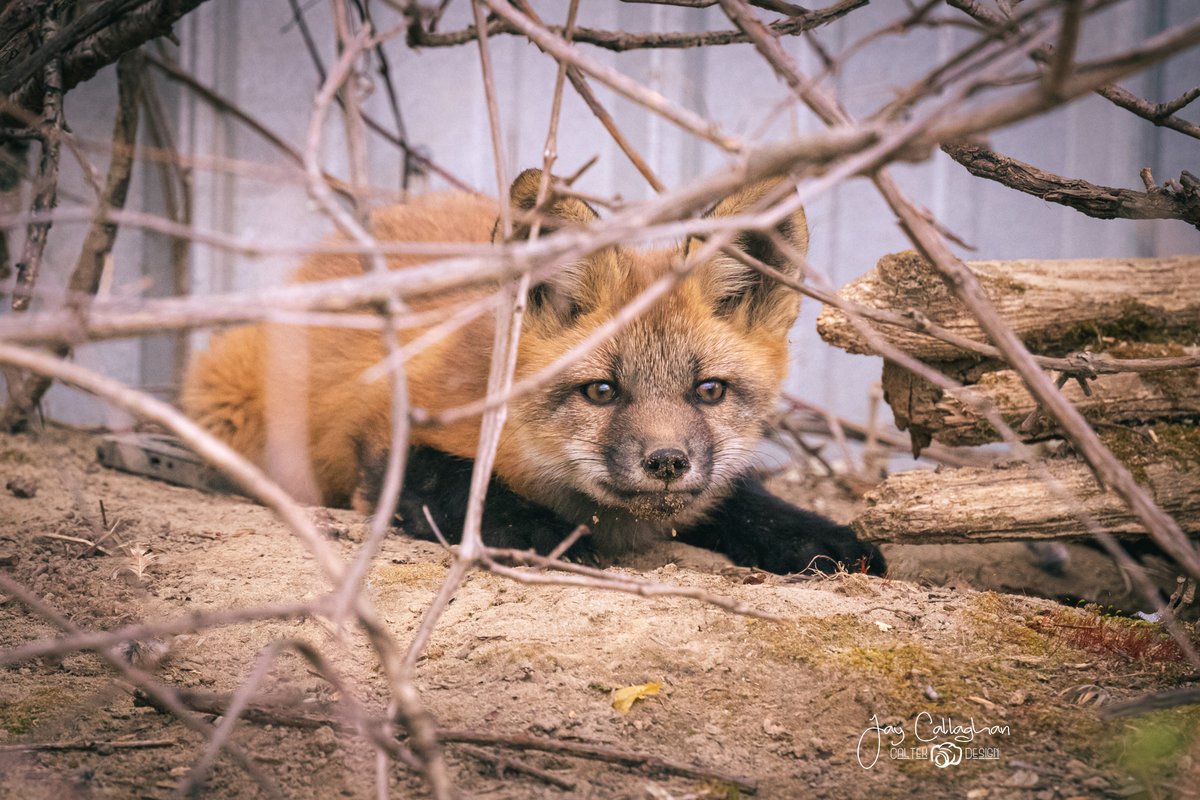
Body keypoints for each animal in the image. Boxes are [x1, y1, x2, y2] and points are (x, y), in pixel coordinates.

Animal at [182, 169, 884, 575]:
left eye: (708, 390)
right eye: (602, 391)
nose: (666, 462)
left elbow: (744, 500)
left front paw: (820, 539)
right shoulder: (388, 434)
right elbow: (459, 484)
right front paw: (548, 535)